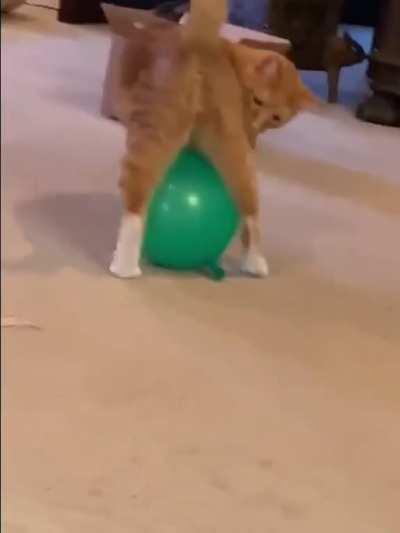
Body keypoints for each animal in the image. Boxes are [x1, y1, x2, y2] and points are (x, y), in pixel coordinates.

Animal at [110, 0, 316, 279]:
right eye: (258, 101)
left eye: (275, 118)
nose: (256, 125)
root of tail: (198, 41)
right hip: (231, 147)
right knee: (250, 210)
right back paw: (255, 263)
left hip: (156, 128)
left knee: (137, 192)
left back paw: (125, 265)